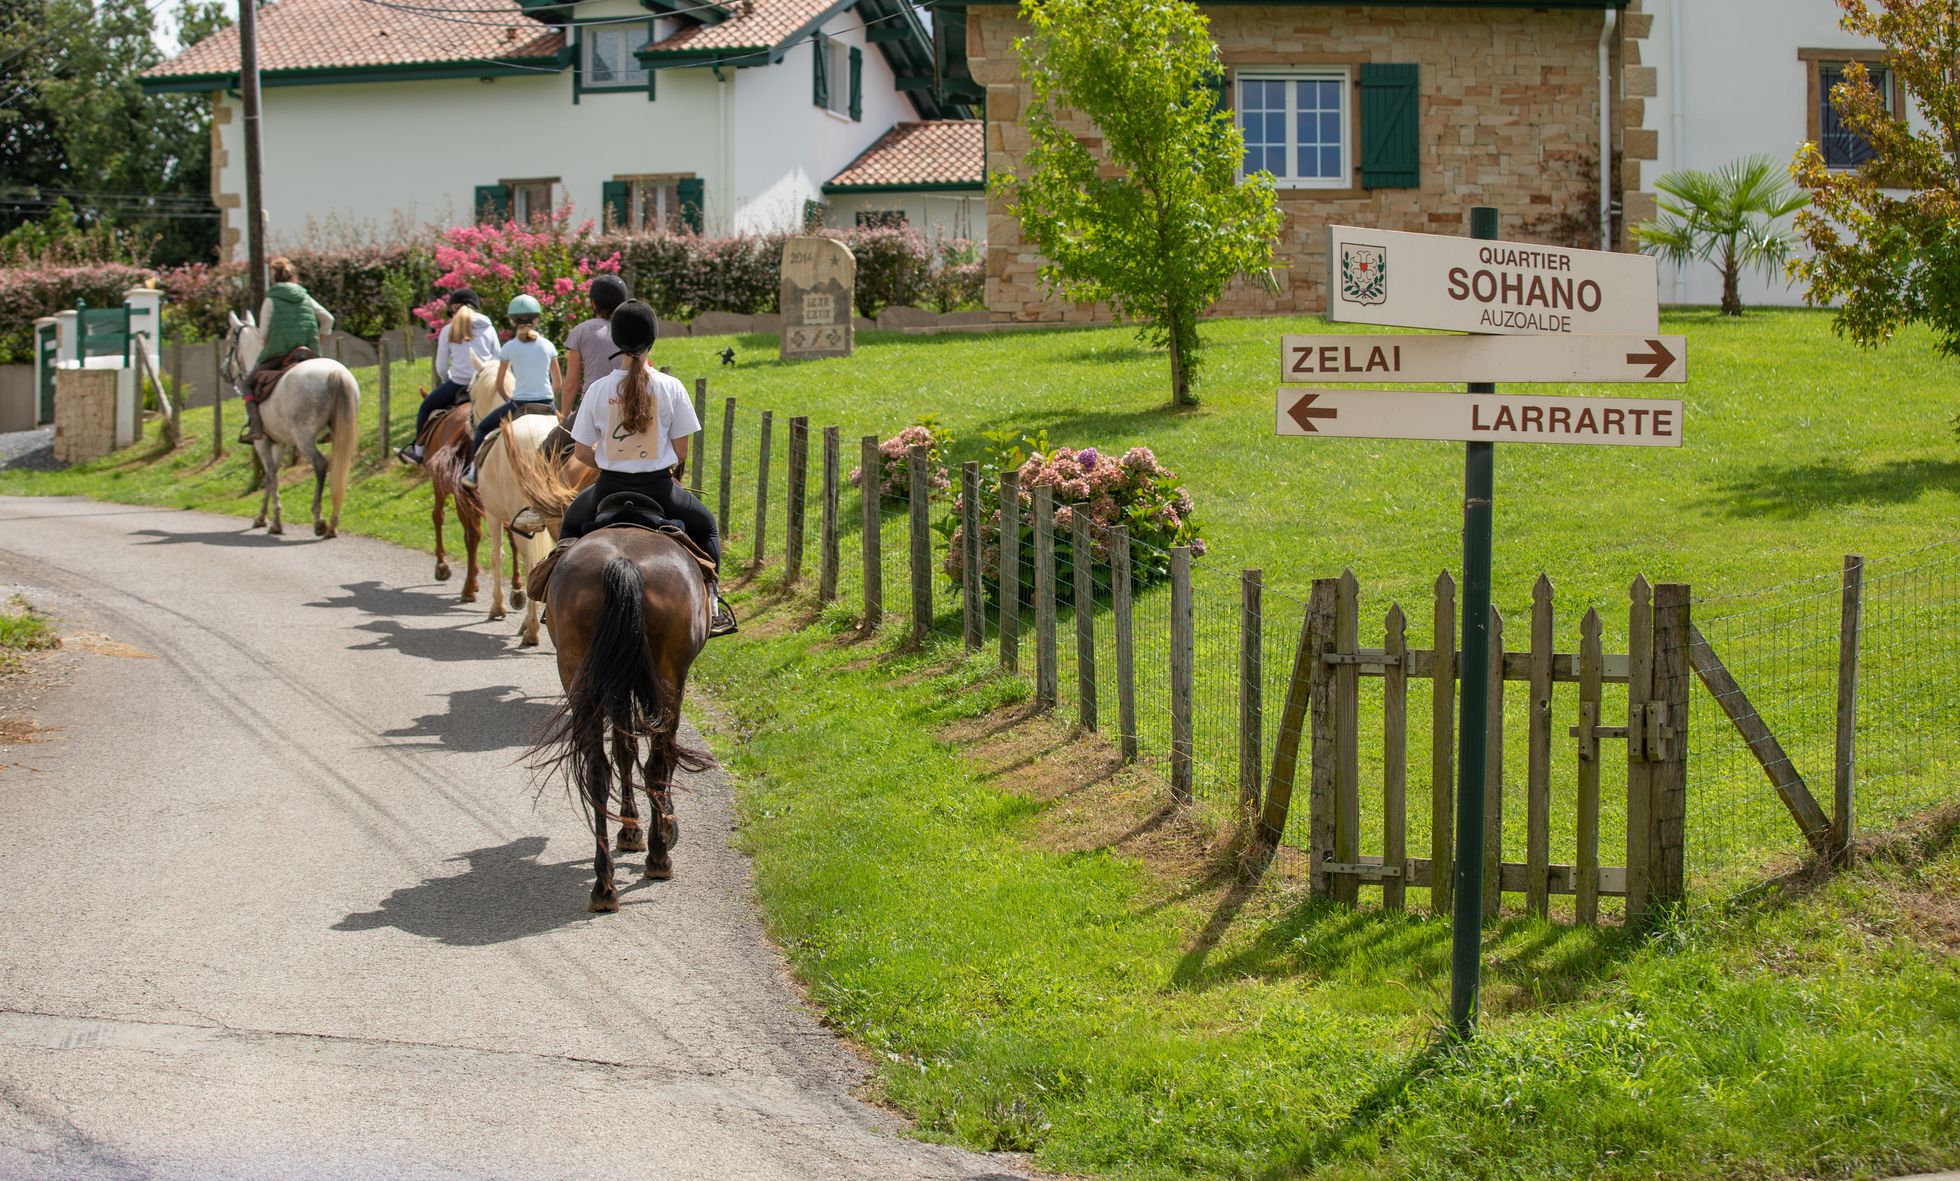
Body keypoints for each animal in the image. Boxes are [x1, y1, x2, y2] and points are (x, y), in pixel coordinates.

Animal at [222, 311, 360, 536]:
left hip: (304, 439)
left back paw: (319, 520)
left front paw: (275, 522)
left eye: (228, 341)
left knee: (321, 465)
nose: (223, 371)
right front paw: (263, 517)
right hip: (340, 434)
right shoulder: (280, 443)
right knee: (339, 467)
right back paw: (333, 522)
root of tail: (335, 373)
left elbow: (270, 477)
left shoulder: (262, 443)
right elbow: (272, 478)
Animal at [529, 528, 713, 916]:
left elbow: (624, 749)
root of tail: (623, 565)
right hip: (667, 681)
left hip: (582, 677)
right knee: (657, 762)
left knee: (598, 769)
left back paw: (604, 885)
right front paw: (656, 826)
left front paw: (630, 828)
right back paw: (659, 857)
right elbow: (643, 754)